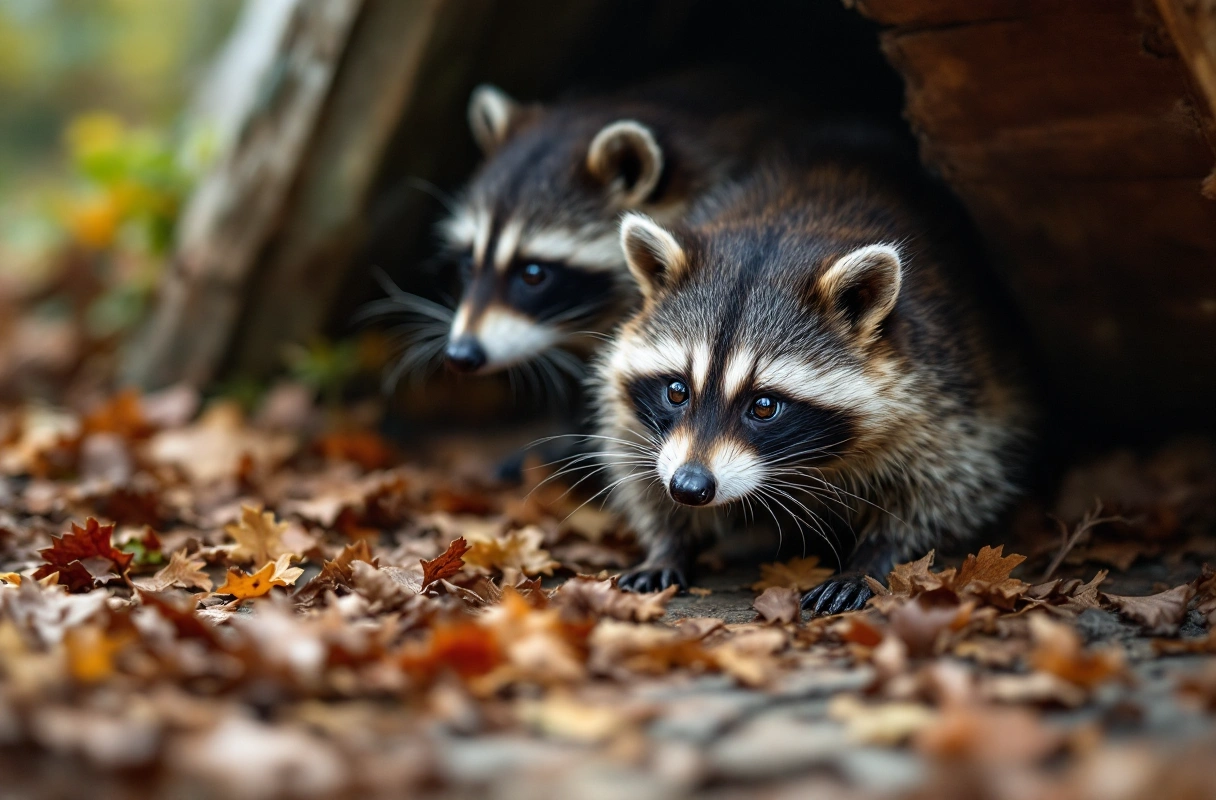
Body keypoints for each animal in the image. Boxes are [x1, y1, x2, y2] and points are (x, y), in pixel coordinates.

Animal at [594, 134, 1033, 615]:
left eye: (764, 405)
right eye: (676, 391)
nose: (690, 488)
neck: (781, 233)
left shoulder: (948, 383)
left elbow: (949, 484)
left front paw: (875, 558)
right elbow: (635, 457)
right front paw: (668, 542)